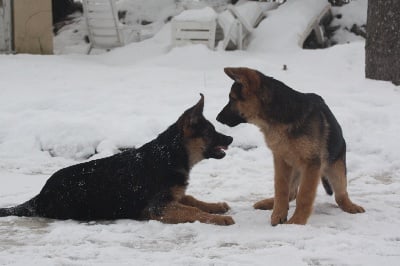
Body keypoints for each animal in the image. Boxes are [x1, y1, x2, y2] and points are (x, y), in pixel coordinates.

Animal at [0, 94, 234, 225]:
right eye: (210, 132)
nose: (231, 138)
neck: (170, 155)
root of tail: (40, 196)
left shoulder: (172, 197)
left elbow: (193, 200)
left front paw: (215, 206)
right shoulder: (157, 208)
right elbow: (192, 210)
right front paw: (218, 218)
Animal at [217, 67, 364, 225]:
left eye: (232, 99)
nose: (217, 118)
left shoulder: (312, 164)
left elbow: (304, 195)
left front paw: (297, 221)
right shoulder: (280, 160)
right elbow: (281, 189)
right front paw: (278, 214)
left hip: (336, 170)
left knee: (340, 195)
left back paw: (351, 206)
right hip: (294, 168)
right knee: (291, 193)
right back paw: (268, 203)